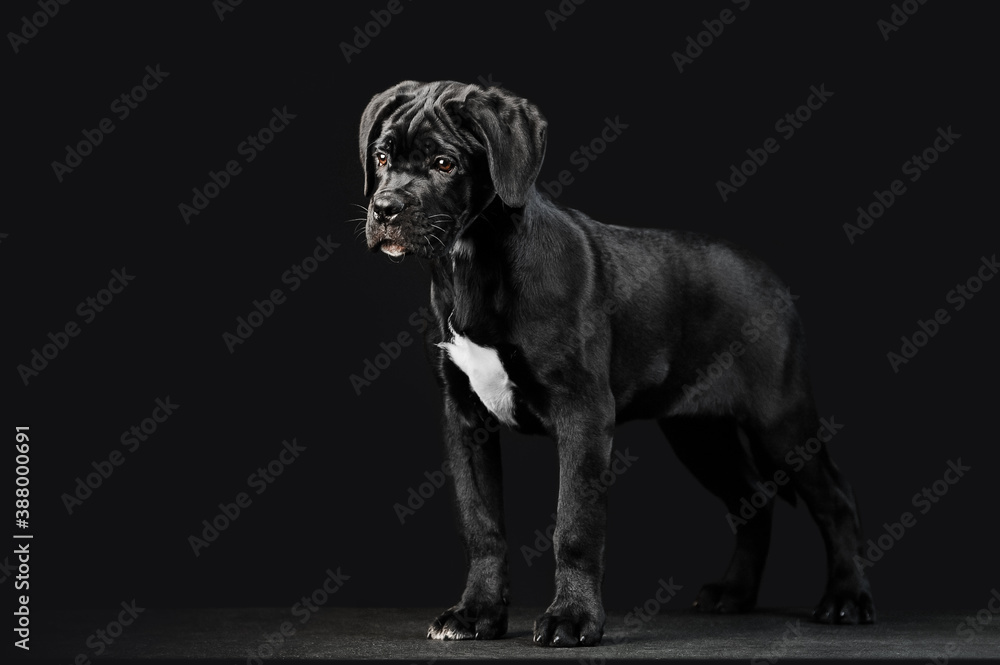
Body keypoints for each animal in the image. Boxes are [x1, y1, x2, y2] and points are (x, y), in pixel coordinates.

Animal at [360, 80, 876, 644]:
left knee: (836, 499)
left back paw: (847, 600)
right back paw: (735, 594)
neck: (474, 264)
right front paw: (475, 613)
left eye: (444, 163)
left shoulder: (582, 413)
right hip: (701, 435)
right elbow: (481, 523)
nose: (384, 208)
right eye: (382, 157)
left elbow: (575, 524)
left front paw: (572, 618)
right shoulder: (465, 418)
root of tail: (770, 278)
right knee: (751, 505)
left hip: (780, 421)